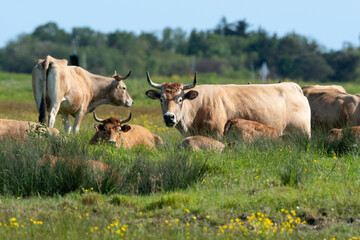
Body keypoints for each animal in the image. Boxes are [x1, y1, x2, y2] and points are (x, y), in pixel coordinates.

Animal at [146, 72, 312, 138]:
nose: (169, 117)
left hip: (302, 133)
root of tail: (293, 86)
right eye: (161, 99)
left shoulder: (218, 134)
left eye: (180, 99)